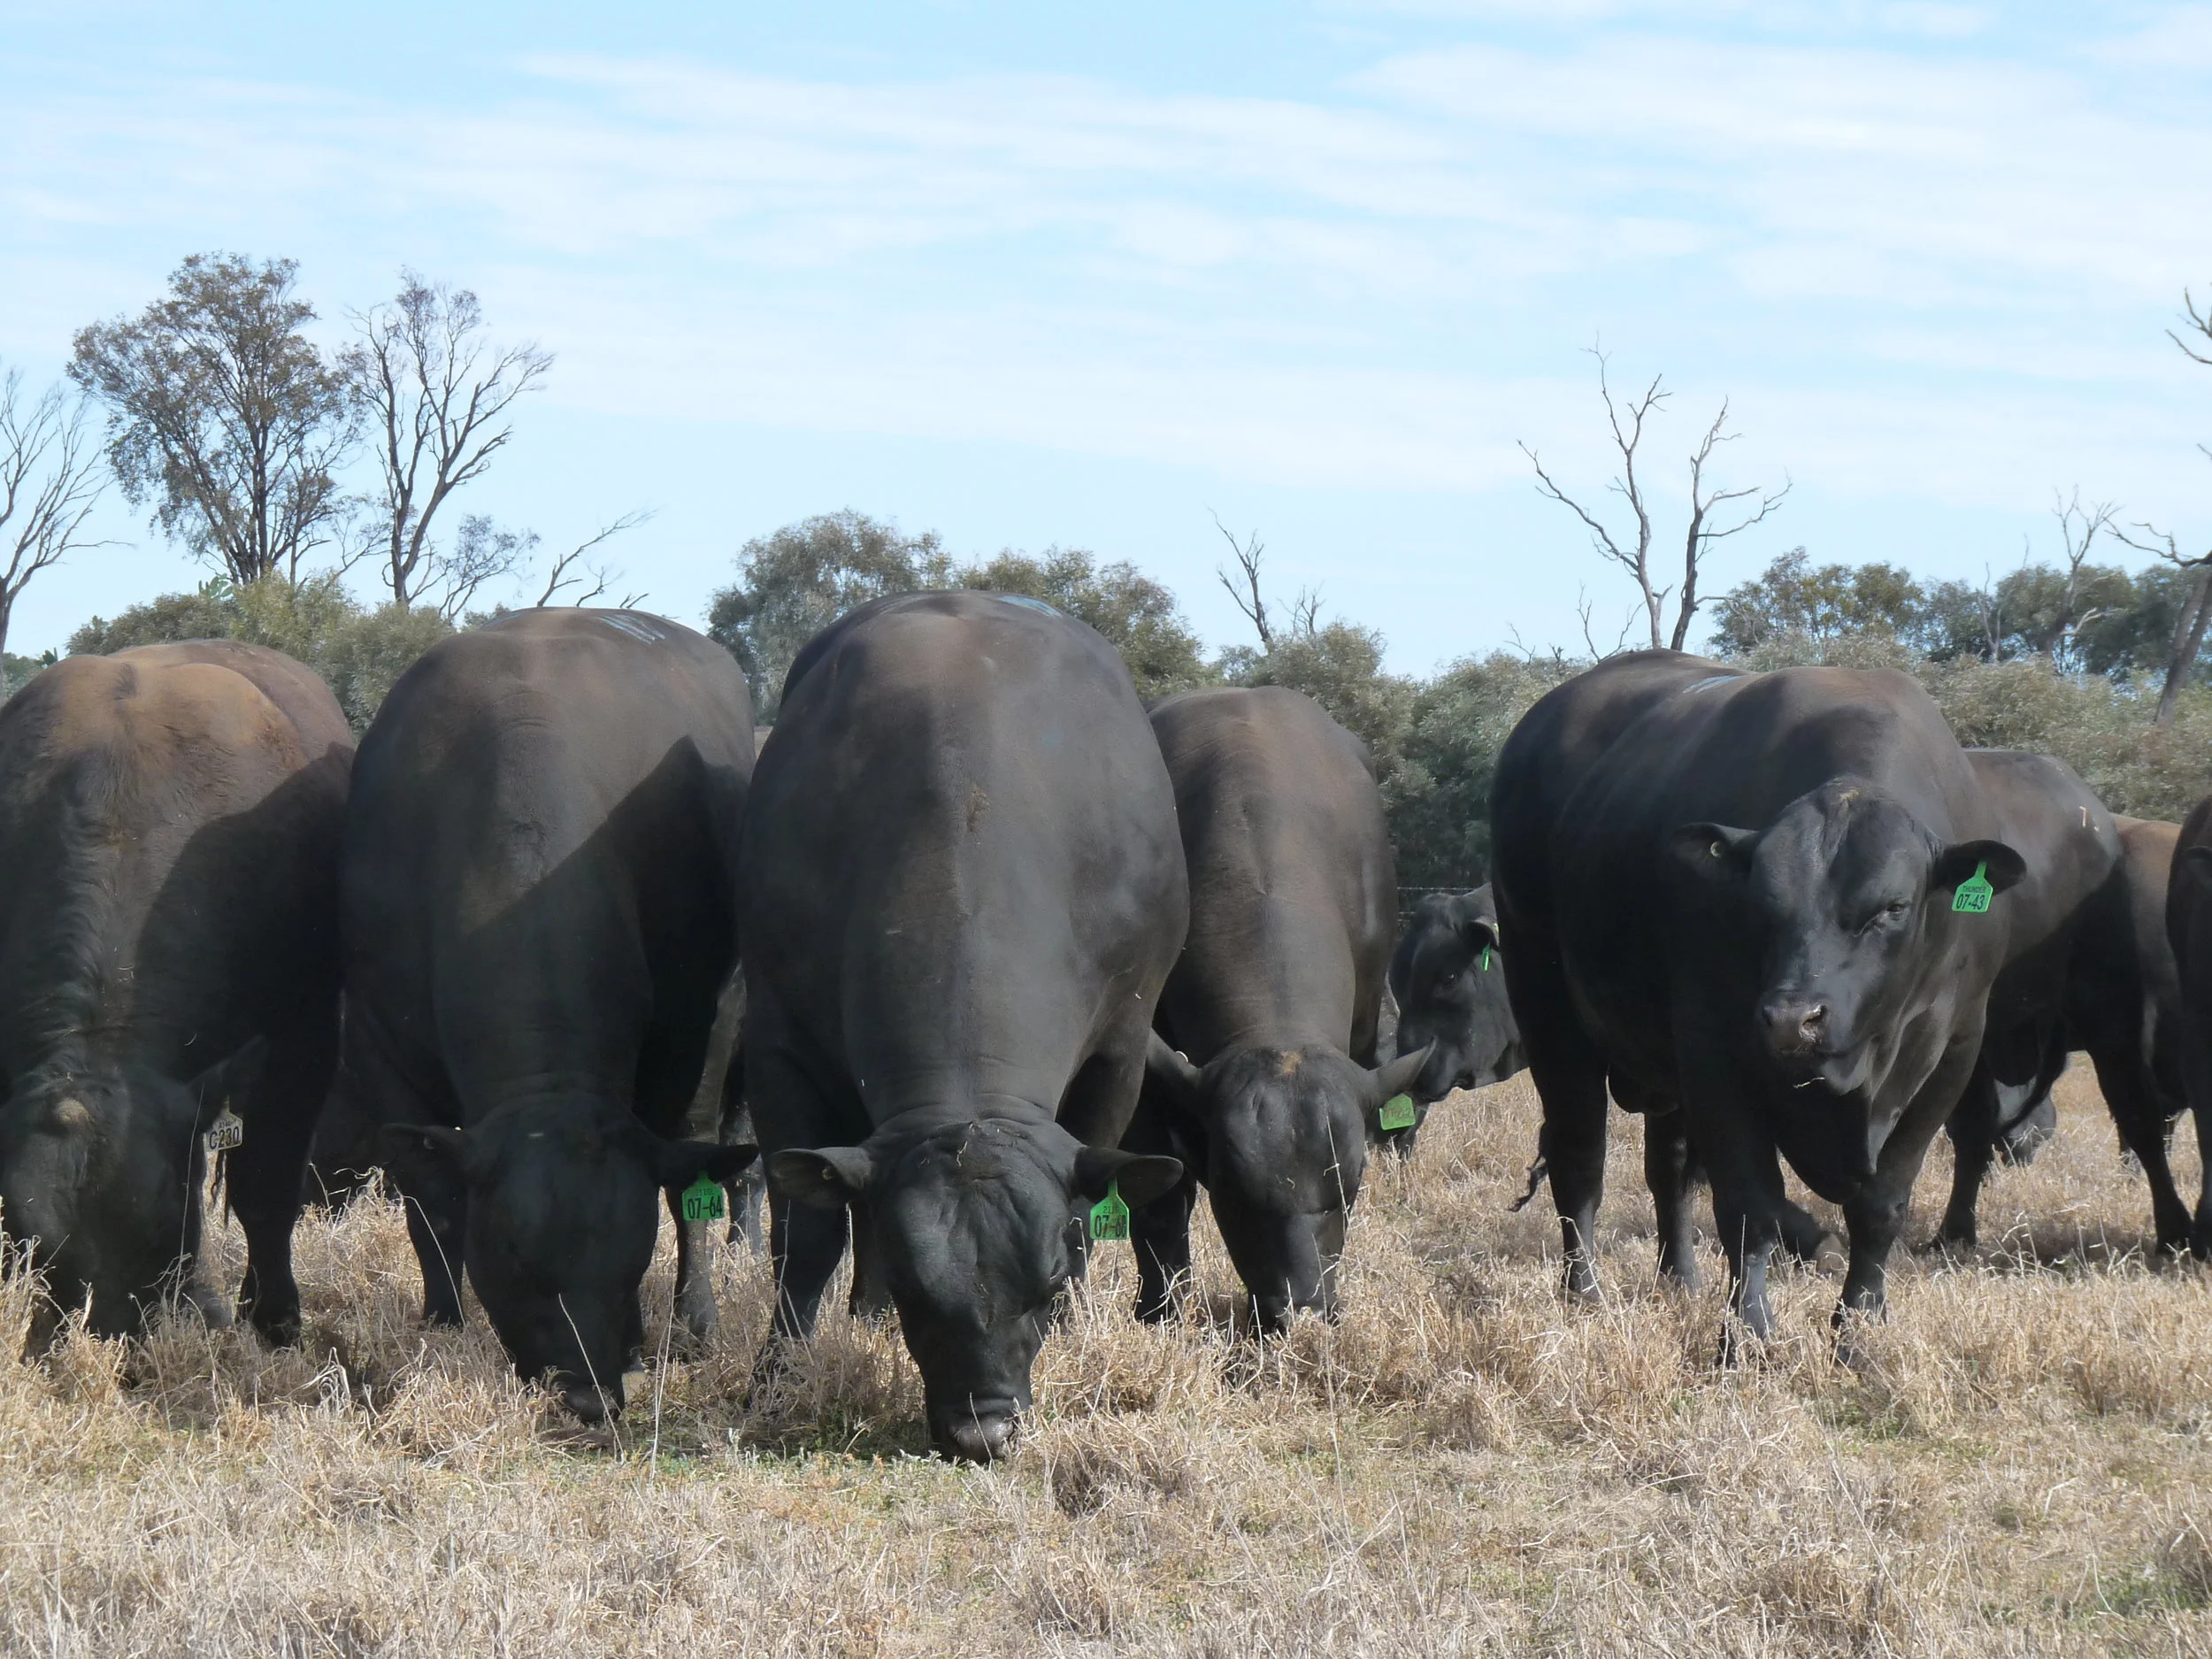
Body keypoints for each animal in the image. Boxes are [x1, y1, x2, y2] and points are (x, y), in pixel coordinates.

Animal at [0, 641, 352, 1342]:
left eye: (160, 1227)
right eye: (35, 1245)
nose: (108, 1344)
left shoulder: (303, 1038)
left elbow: (266, 1190)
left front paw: (273, 1319)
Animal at [343, 609, 757, 1421]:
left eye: (630, 1258)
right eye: (509, 1257)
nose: (588, 1393)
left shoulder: (700, 1022)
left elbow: (685, 1182)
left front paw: (681, 1324)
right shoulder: (382, 1044)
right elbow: (431, 1202)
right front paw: (442, 1323)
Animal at [743, 591, 1186, 1462]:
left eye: (1047, 1280)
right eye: (919, 1288)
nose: (984, 1428)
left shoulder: (1120, 1049)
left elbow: (1088, 1207)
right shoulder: (779, 1049)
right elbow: (807, 1234)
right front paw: (779, 1371)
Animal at [1492, 651, 2023, 1345]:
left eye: (1893, 906)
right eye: (1763, 901)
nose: (1793, 1021)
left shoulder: (1954, 1053)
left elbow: (1882, 1205)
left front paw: (1859, 1327)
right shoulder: (1715, 1047)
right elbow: (1749, 1202)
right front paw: (1746, 1333)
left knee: (1669, 1168)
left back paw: (1680, 1277)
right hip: (1550, 1015)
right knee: (1580, 1160)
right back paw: (1584, 1290)